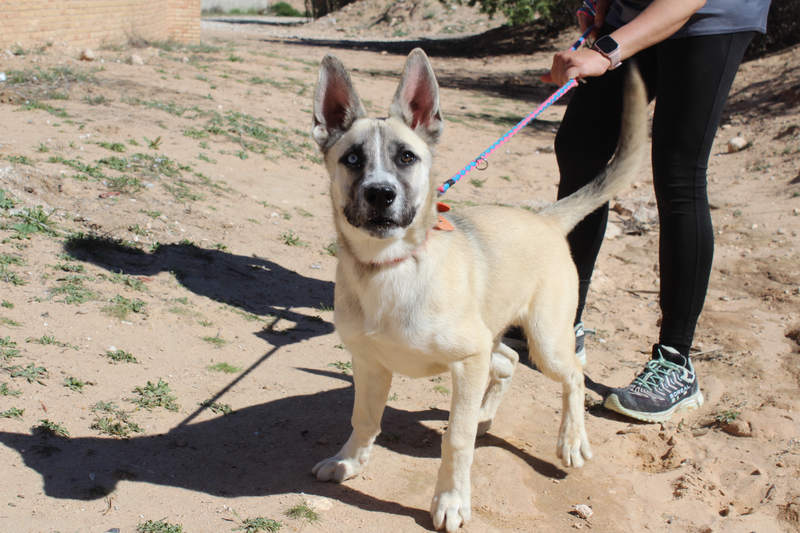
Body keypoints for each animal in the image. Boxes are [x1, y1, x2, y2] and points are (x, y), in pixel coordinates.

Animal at [310, 48, 647, 532]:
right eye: (353, 159)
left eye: (407, 157)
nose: (380, 194)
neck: (391, 267)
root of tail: (544, 218)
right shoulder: (370, 363)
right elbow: (364, 418)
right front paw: (349, 462)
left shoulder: (467, 361)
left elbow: (457, 440)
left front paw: (451, 501)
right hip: (494, 331)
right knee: (506, 361)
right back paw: (488, 414)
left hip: (545, 340)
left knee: (574, 375)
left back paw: (570, 440)